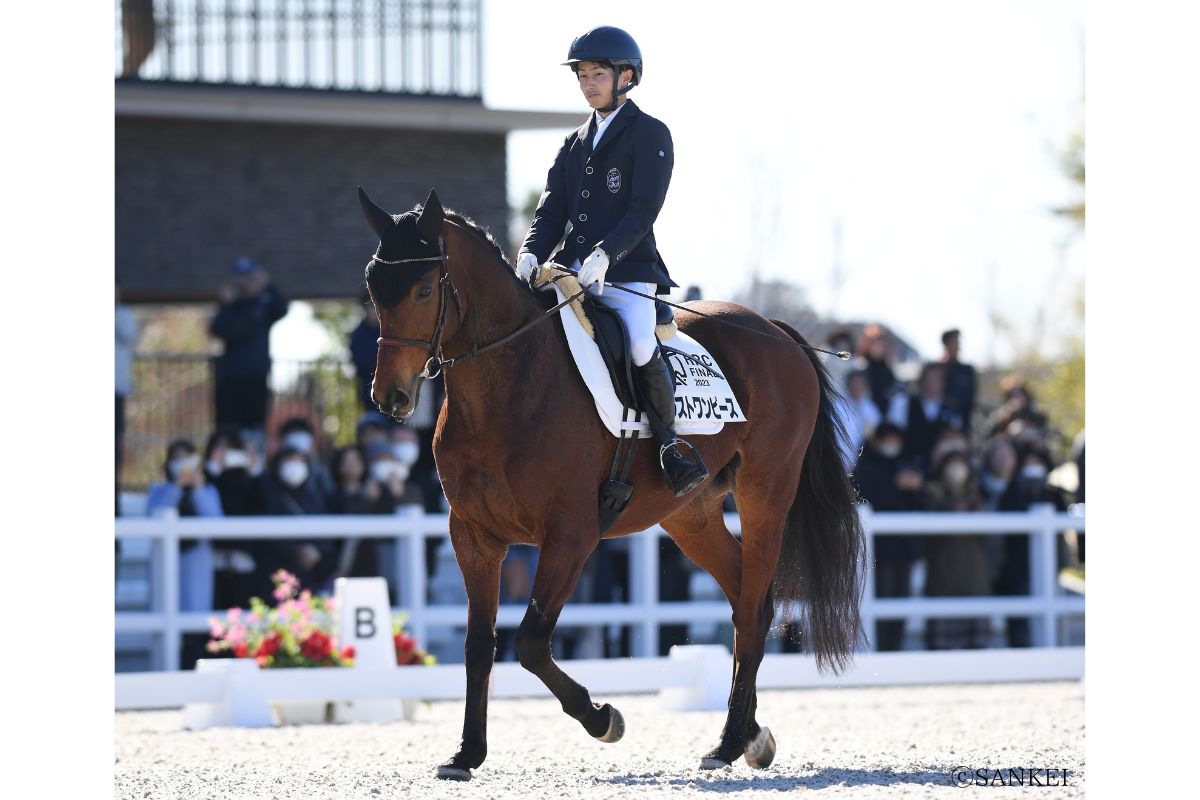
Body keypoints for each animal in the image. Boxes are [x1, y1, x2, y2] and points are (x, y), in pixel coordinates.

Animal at [357, 187, 866, 780]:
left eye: (422, 289)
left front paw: (603, 718)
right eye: (373, 288)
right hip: (690, 515)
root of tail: (774, 330)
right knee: (746, 600)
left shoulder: (571, 537)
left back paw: (728, 742)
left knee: (753, 609)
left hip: (766, 495)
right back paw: (748, 737)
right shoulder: (473, 538)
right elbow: (479, 644)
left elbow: (530, 643)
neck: (507, 385)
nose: (390, 397)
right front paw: (466, 753)